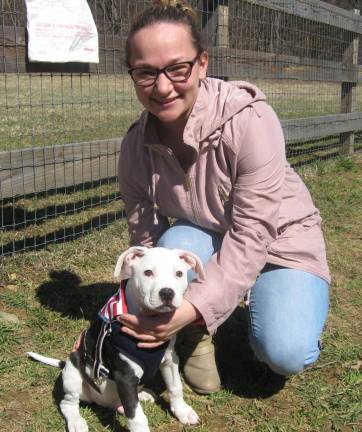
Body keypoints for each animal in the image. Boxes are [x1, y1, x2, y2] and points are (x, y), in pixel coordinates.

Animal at [26, 246, 205, 432]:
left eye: (179, 274)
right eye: (148, 272)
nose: (167, 293)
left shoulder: (170, 360)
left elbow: (175, 387)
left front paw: (183, 411)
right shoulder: (125, 377)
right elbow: (136, 417)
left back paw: (143, 394)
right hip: (73, 376)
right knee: (67, 403)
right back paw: (77, 422)